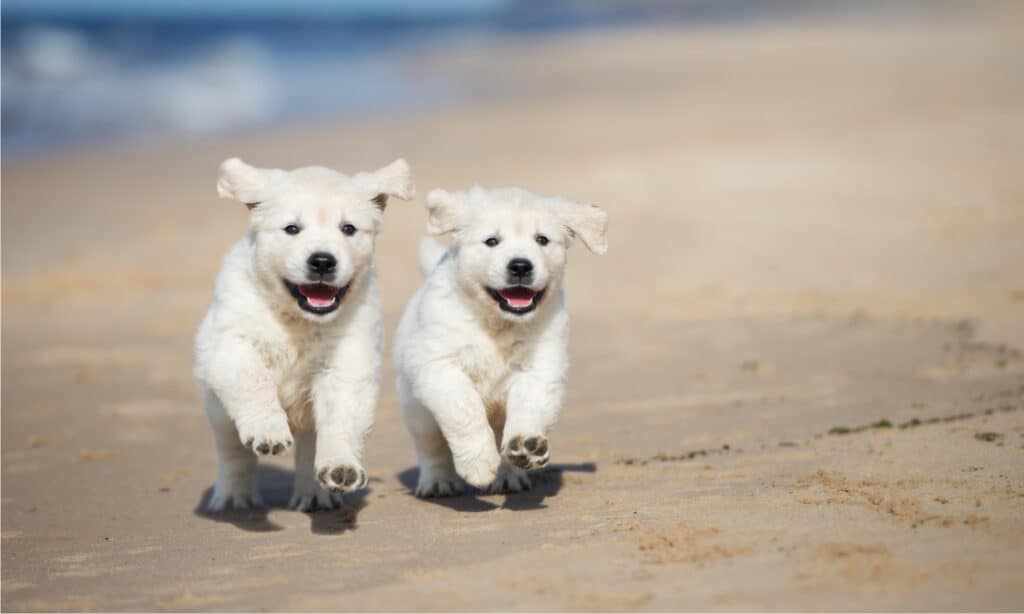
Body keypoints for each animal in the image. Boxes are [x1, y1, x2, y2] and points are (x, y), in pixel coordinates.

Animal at [195, 155, 411, 511]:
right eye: (292, 229)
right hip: (217, 410)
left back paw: (315, 494)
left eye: (348, 228)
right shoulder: (230, 344)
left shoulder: (347, 363)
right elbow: (253, 379)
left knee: (310, 443)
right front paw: (267, 430)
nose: (322, 261)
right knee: (232, 452)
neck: (300, 320)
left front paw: (340, 466)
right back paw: (233, 496)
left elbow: (341, 418)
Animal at [393, 184, 602, 497]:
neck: (499, 323)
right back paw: (437, 482)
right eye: (491, 241)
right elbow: (464, 410)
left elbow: (529, 407)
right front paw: (478, 464)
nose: (520, 266)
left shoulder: (540, 369)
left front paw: (526, 445)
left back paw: (510, 475)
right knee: (431, 447)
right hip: (417, 410)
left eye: (542, 239)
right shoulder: (440, 366)